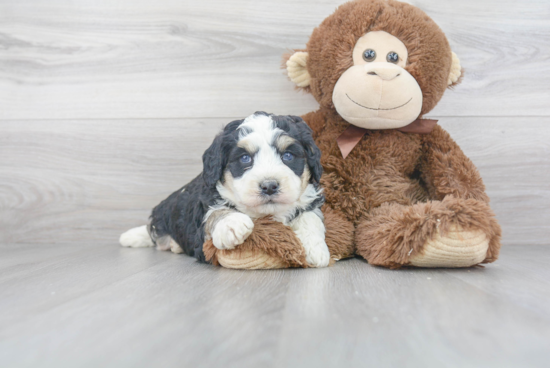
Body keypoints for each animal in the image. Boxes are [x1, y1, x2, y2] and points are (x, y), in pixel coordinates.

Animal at [118, 111, 330, 268]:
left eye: (288, 156)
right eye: (245, 158)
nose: (269, 186)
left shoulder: (309, 198)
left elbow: (310, 216)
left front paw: (315, 248)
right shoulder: (202, 231)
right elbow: (216, 212)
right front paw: (232, 223)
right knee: (151, 231)